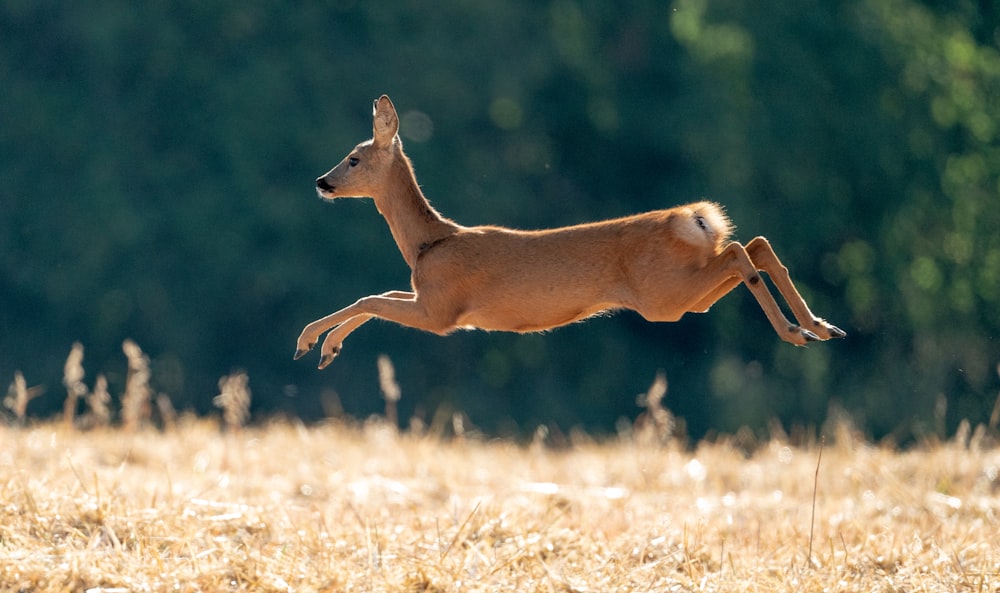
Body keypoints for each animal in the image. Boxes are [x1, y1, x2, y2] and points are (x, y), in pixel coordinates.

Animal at [294, 95, 844, 368]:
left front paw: (311, 344)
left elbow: (370, 297)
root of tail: (694, 217)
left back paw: (797, 331)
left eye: (353, 157)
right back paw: (821, 326)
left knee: (739, 253)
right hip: (683, 295)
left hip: (663, 296)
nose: (321, 182)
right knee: (755, 245)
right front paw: (326, 349)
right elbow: (379, 295)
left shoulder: (442, 311)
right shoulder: (430, 300)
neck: (430, 242)